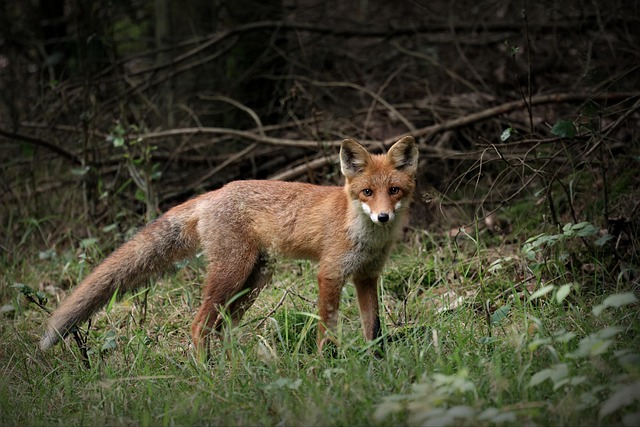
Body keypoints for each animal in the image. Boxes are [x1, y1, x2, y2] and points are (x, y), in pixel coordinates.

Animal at [39, 136, 419, 355]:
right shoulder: (330, 274)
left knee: (221, 328)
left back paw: (228, 369)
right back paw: (206, 374)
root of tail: (213, 193)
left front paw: (378, 364)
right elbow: (328, 329)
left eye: (394, 190)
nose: (383, 217)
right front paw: (328, 365)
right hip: (233, 273)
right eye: (367, 192)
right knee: (199, 326)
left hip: (253, 281)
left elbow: (374, 329)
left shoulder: (367, 277)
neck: (366, 237)